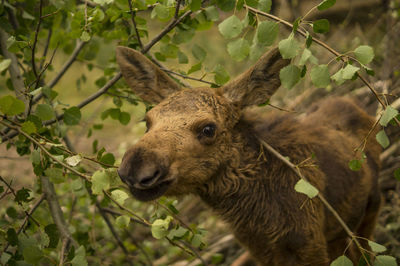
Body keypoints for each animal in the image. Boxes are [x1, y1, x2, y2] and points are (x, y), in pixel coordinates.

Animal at [115, 46, 382, 264]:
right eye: (147, 121)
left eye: (208, 129)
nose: (135, 169)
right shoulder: (261, 251)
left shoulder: (309, 246)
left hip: (370, 210)